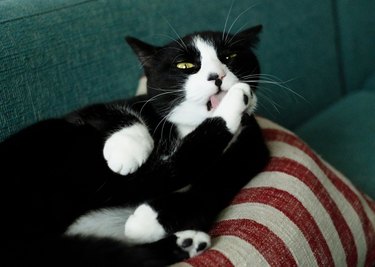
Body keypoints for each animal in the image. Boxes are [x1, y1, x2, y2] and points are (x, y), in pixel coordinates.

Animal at [0, 24, 270, 266]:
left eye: (230, 56)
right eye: (185, 65)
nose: (218, 76)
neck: (187, 128)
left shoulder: (252, 149)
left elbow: (217, 183)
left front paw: (150, 221)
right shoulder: (91, 113)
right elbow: (110, 112)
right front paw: (128, 150)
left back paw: (185, 242)